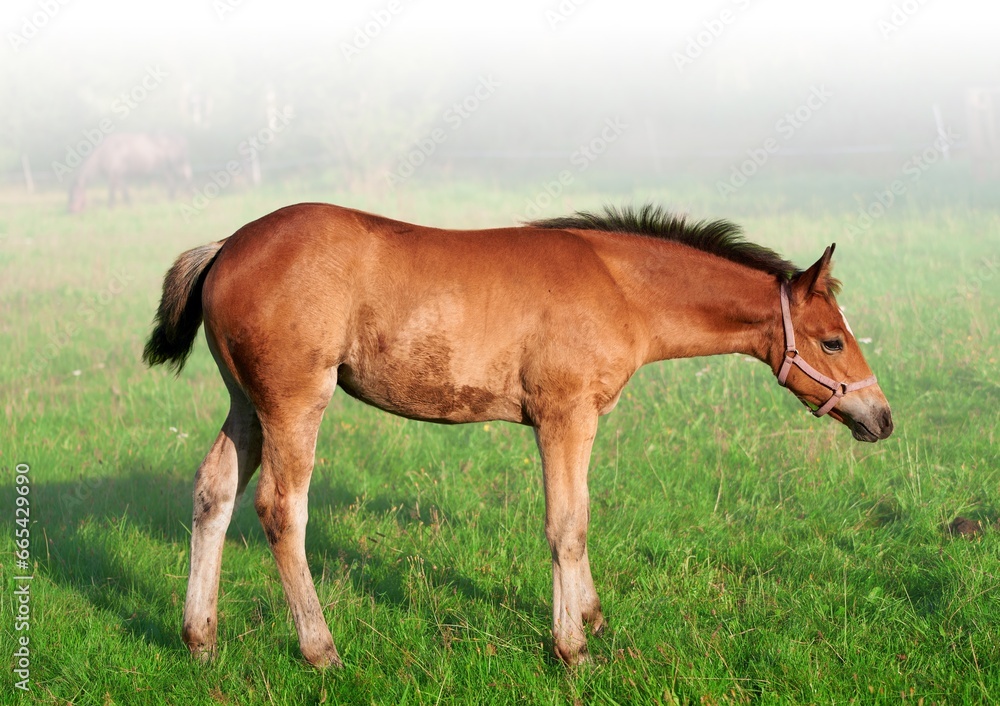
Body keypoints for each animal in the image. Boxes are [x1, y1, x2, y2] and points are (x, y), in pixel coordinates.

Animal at [143, 202, 893, 667]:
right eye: (831, 340)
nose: (881, 417)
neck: (618, 286)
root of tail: (227, 245)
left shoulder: (581, 420)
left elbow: (580, 517)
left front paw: (590, 618)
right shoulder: (565, 417)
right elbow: (566, 525)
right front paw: (572, 648)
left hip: (248, 404)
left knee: (212, 495)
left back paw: (200, 640)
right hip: (296, 401)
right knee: (280, 509)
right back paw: (320, 650)